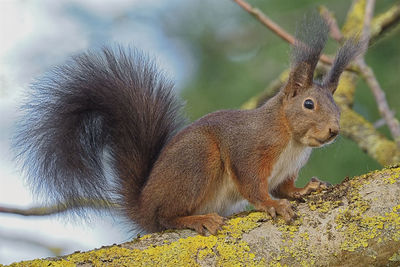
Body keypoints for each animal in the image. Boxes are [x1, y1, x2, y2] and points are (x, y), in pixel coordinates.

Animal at [12, 15, 362, 236]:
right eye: (309, 104)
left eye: (337, 107)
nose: (334, 130)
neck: (292, 141)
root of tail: (144, 203)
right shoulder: (249, 149)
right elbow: (253, 184)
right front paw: (272, 205)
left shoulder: (287, 169)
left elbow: (285, 187)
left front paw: (305, 189)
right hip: (198, 159)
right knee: (165, 217)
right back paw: (198, 220)